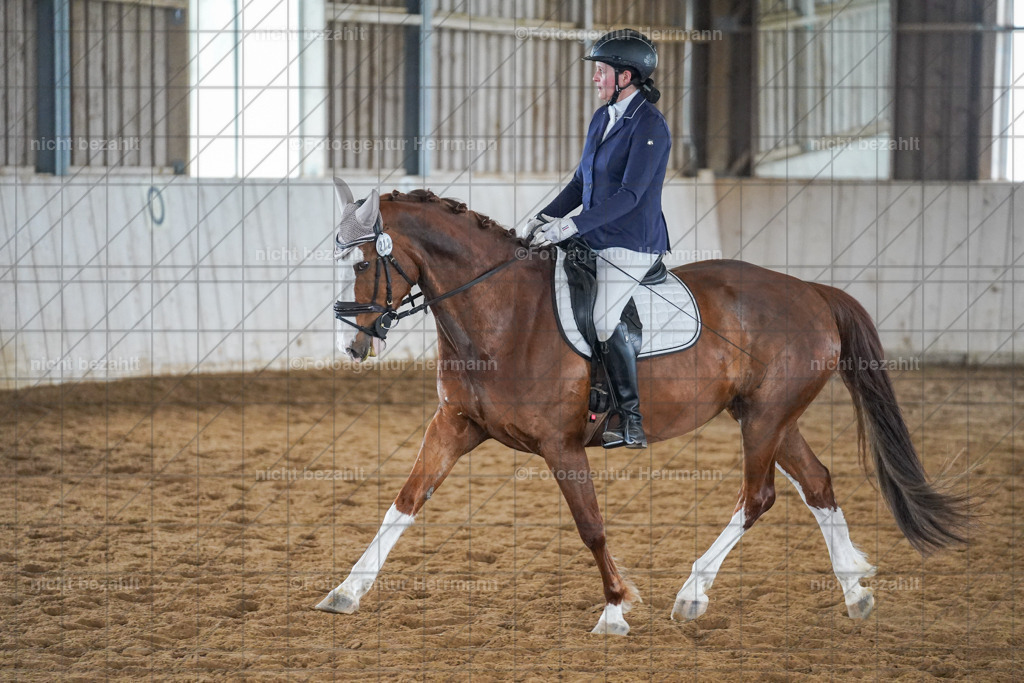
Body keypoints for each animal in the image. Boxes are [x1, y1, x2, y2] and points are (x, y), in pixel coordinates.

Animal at [314, 179, 968, 635]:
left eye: (363, 263)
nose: (351, 344)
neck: (501, 313)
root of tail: (811, 291)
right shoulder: (455, 425)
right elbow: (404, 503)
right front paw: (345, 591)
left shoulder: (560, 445)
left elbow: (591, 527)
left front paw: (615, 611)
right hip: (767, 417)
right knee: (818, 483)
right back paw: (855, 590)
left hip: (764, 419)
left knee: (759, 497)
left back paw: (693, 594)